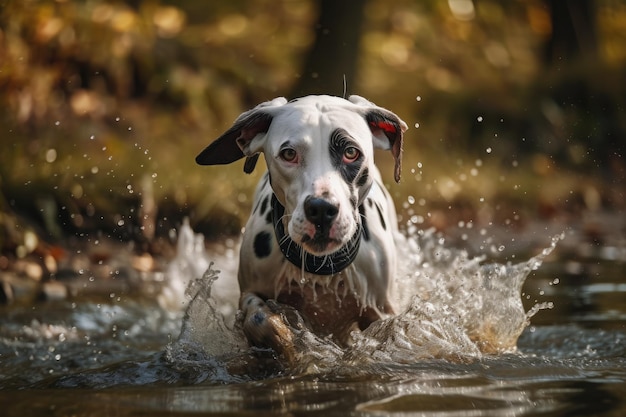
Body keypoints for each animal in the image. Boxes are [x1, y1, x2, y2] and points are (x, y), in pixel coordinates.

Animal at [196, 95, 410, 358]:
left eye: (350, 152)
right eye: (289, 154)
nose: (322, 209)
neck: (321, 268)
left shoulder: (381, 312)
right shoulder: (250, 292)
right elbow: (258, 317)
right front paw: (285, 342)